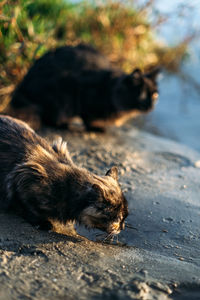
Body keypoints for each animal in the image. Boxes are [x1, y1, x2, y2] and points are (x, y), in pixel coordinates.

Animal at [10, 44, 159, 131]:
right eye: (142, 94)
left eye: (155, 95)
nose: (151, 106)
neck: (110, 89)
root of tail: (22, 87)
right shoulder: (85, 95)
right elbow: (89, 118)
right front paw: (97, 127)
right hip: (63, 97)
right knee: (50, 118)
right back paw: (66, 125)